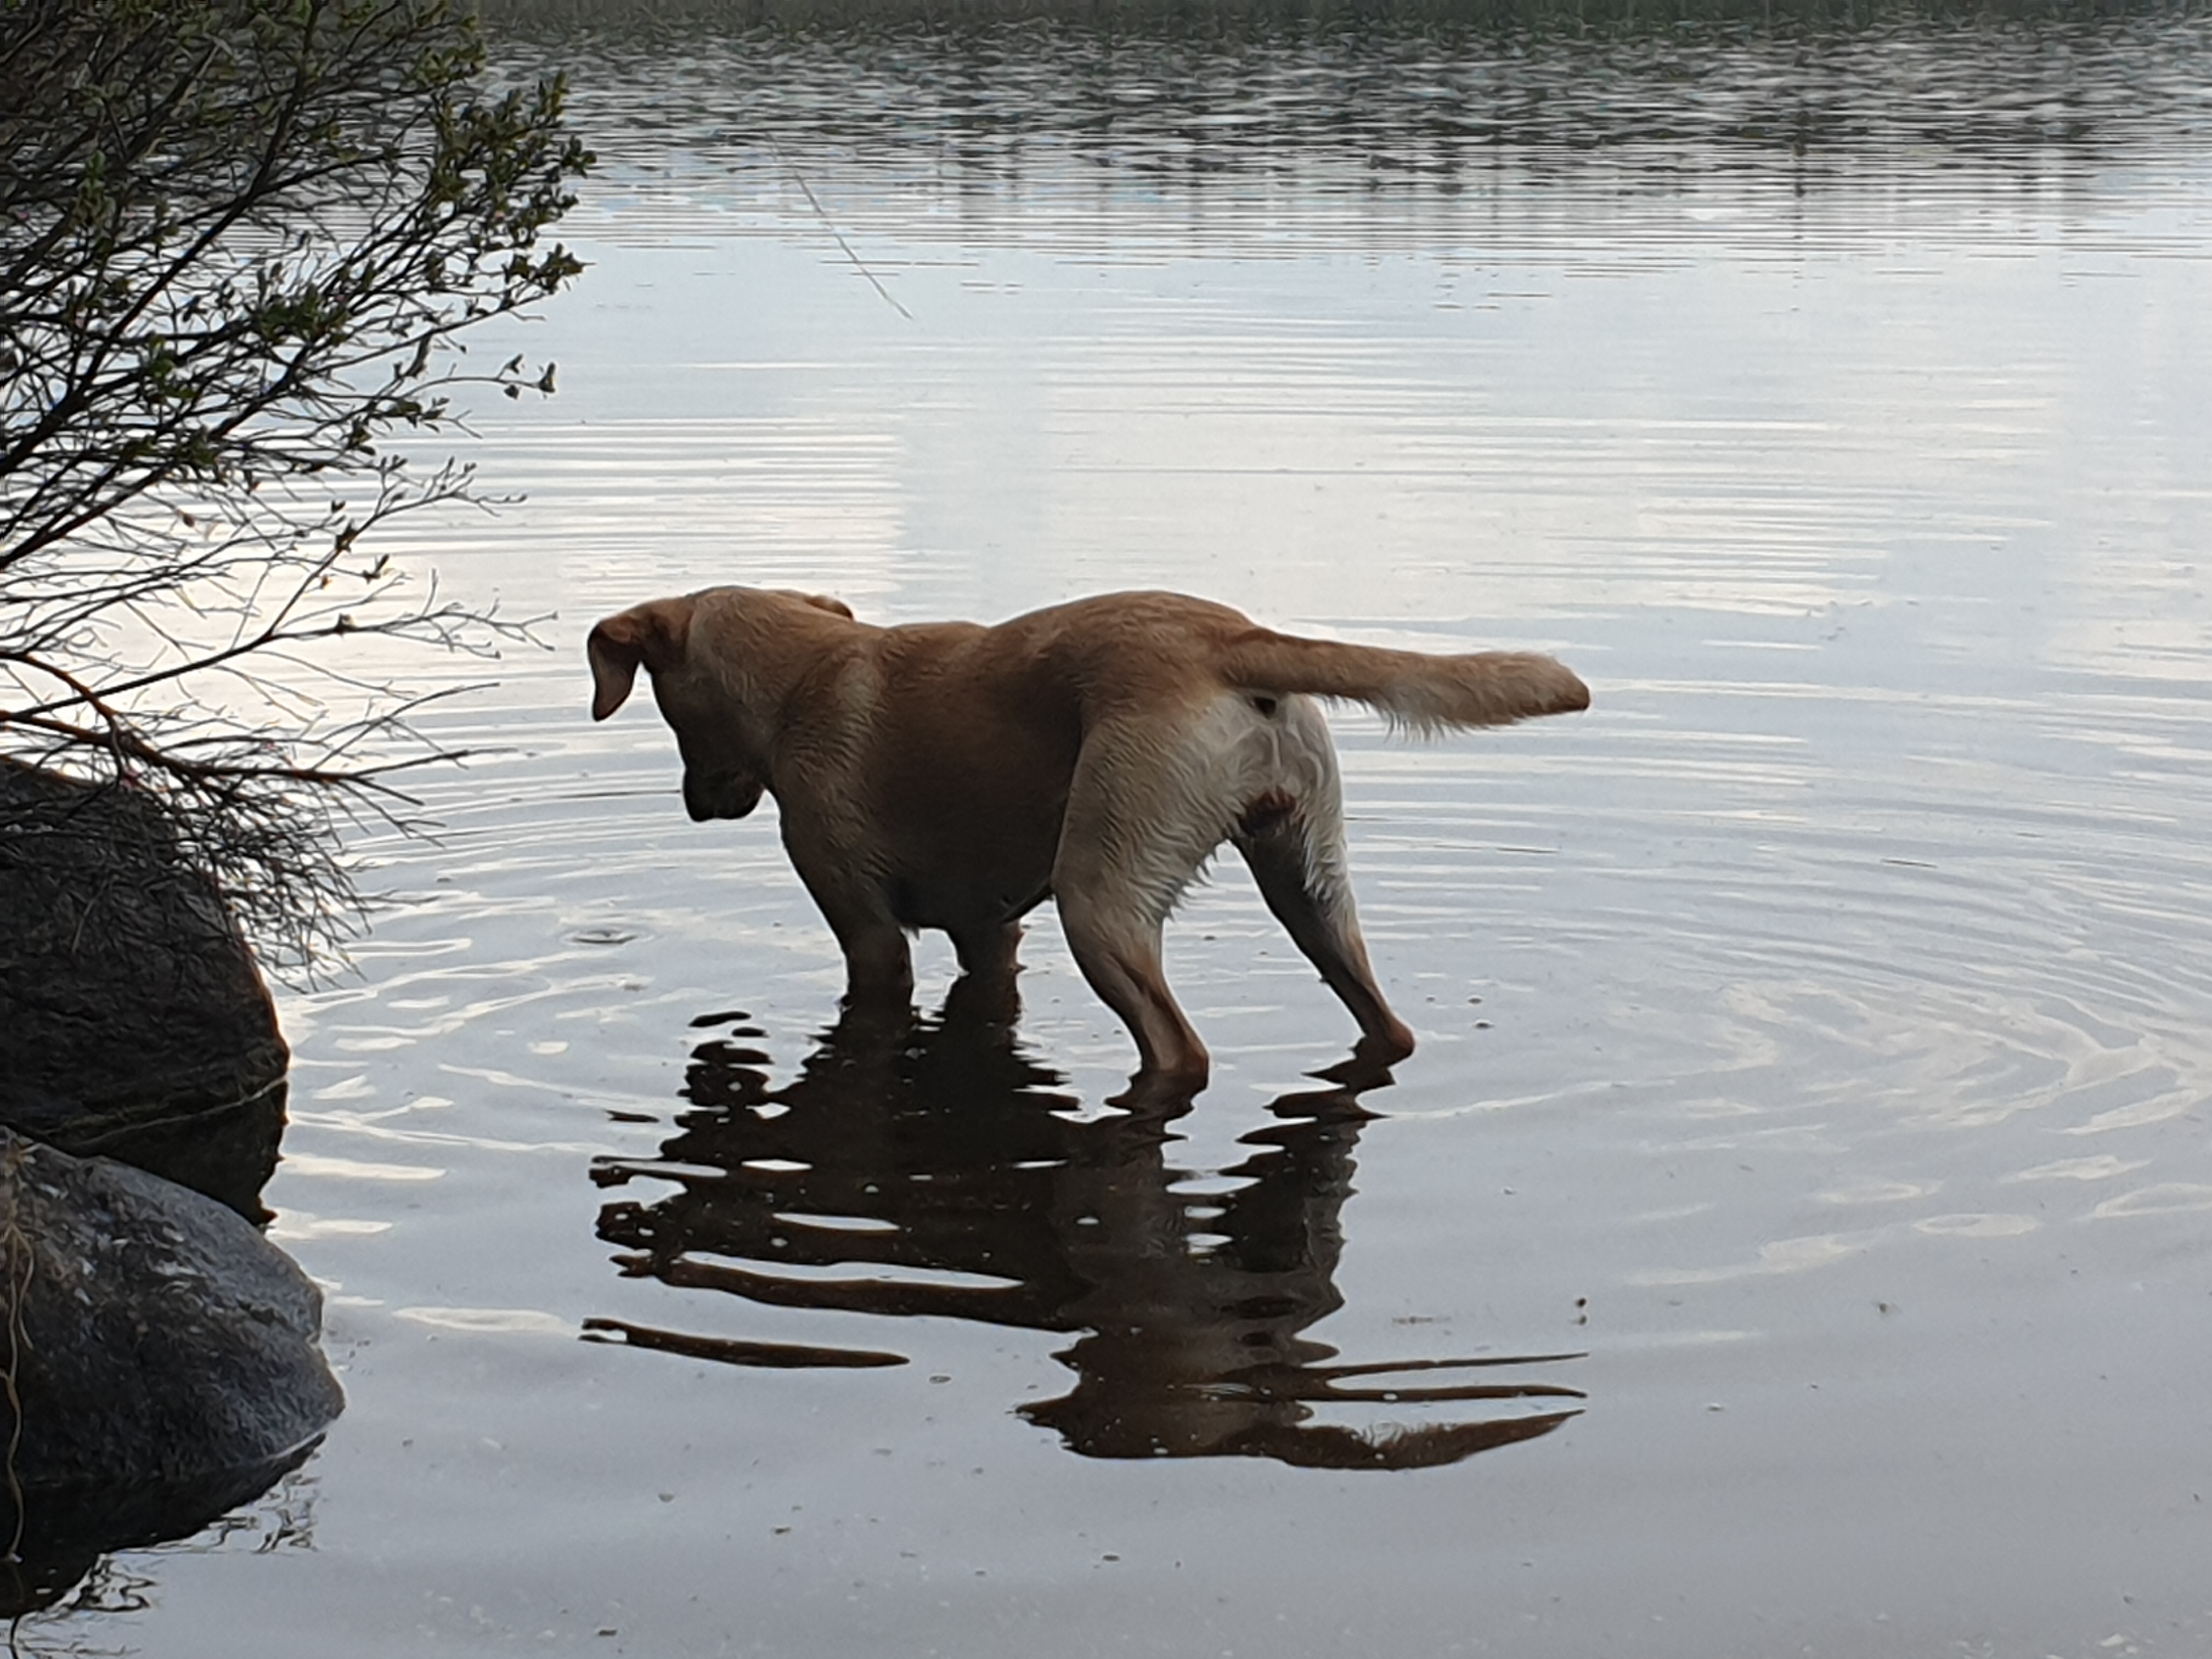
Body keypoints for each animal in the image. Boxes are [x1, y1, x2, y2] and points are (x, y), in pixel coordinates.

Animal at [588, 588, 1587, 1095]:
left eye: (666, 707)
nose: (694, 804)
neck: (803, 673)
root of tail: (1231, 639)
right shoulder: (989, 931)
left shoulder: (868, 932)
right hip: (1309, 882)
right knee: (1384, 1018)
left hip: (1101, 896)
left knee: (1179, 1048)